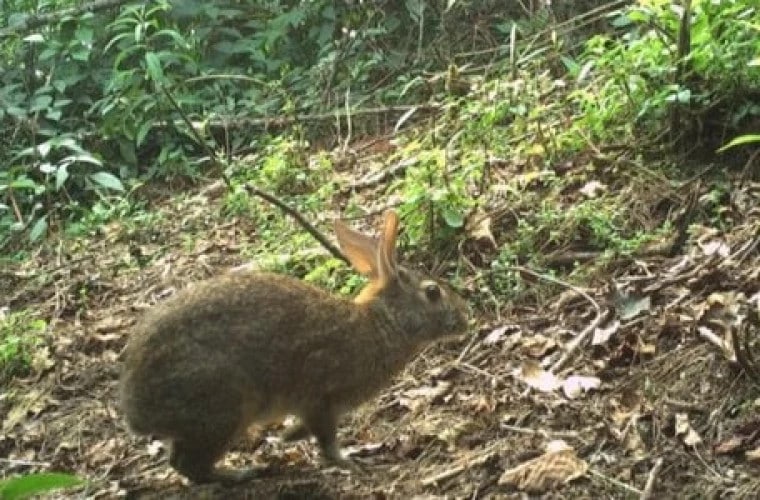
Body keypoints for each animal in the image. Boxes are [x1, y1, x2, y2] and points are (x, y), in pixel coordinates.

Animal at [119, 209, 470, 482]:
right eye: (433, 293)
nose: (465, 317)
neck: (381, 323)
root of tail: (137, 411)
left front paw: (286, 436)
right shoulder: (321, 397)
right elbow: (326, 440)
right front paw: (349, 461)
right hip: (225, 406)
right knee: (189, 465)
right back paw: (241, 474)